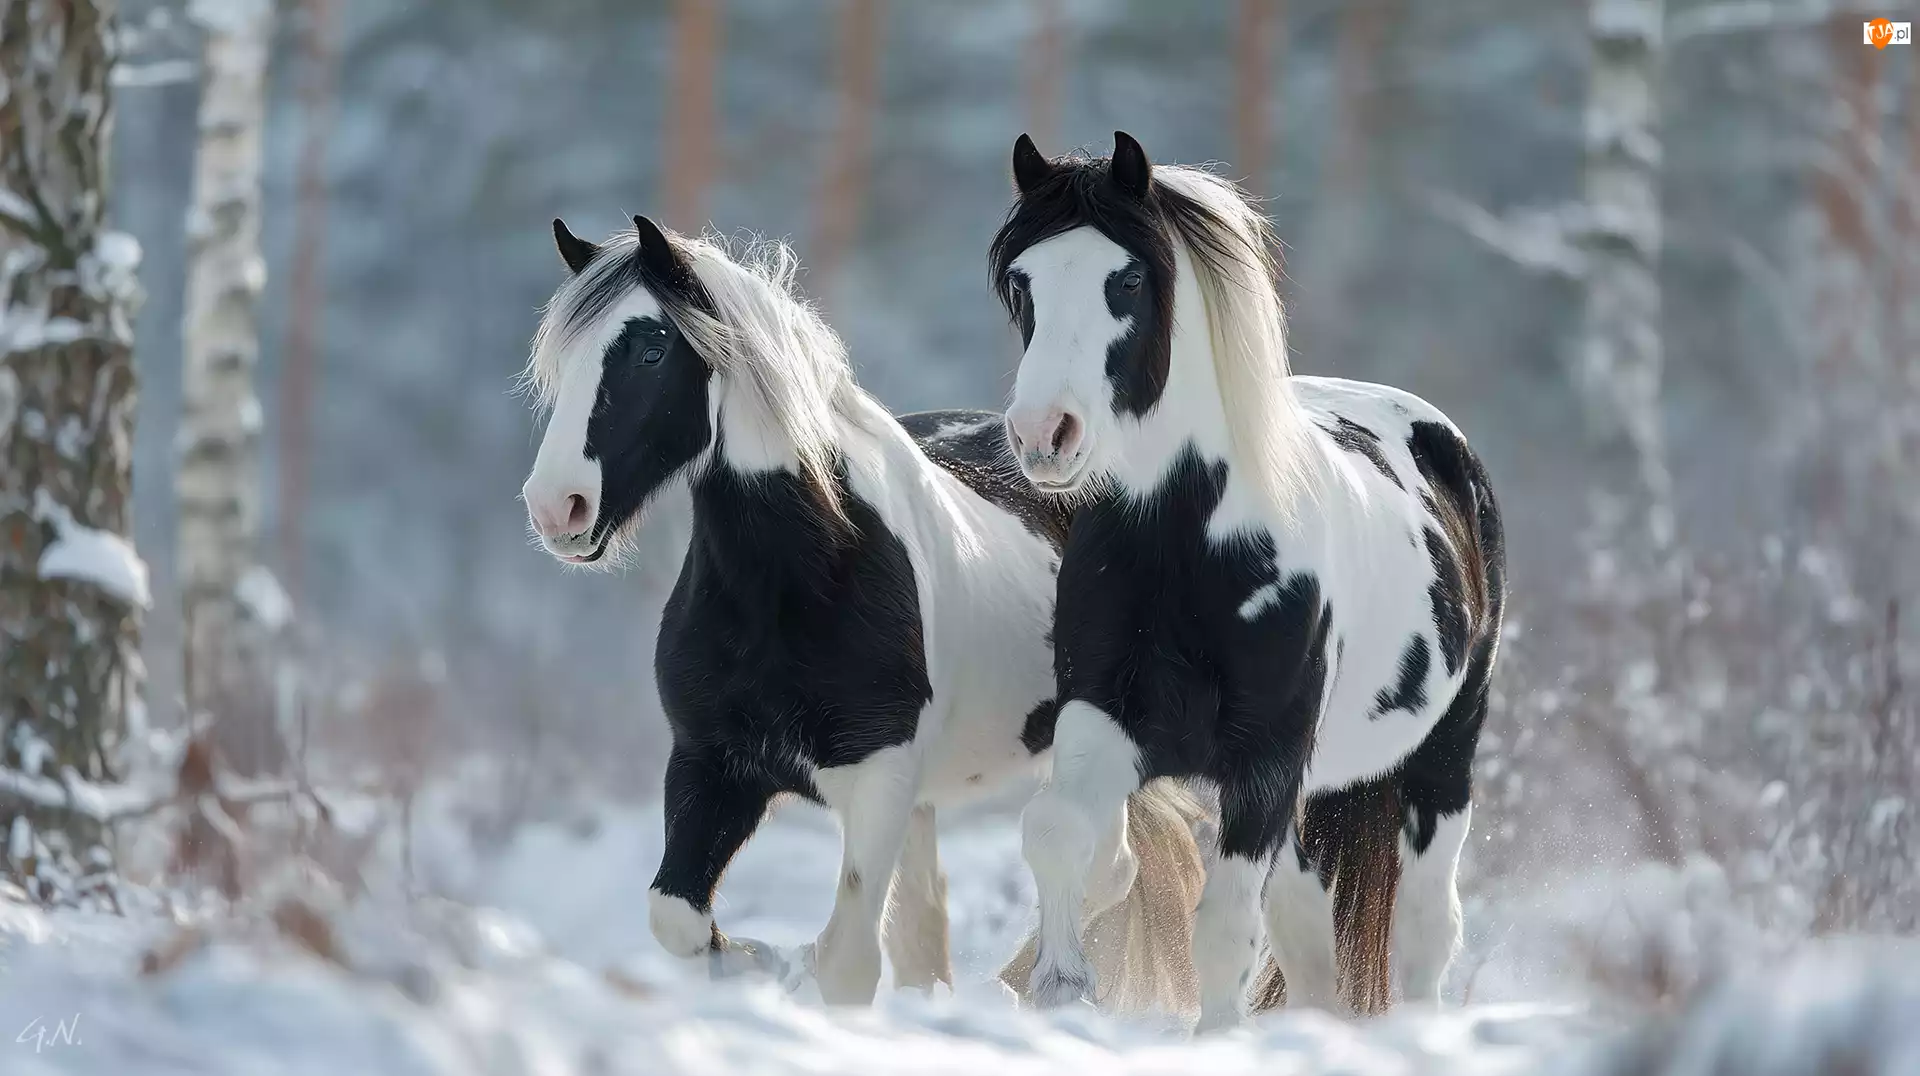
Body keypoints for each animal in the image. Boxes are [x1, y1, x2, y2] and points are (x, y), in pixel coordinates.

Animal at [517, 214, 1208, 1013]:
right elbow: (677, 918)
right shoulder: (711, 762)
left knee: (1105, 869)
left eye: (653, 349)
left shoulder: (878, 775)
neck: (794, 583)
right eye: (559, 362)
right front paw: (757, 962)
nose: (556, 508)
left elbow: (847, 962)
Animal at [989, 132, 1507, 1029]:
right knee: (1309, 938)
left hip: (1443, 756)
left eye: (1127, 279)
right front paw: (1060, 985)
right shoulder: (1105, 717)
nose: (1044, 435)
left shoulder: (1264, 758)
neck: (1189, 542)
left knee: (1424, 928)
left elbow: (1225, 925)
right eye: (1023, 281)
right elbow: (1058, 833)